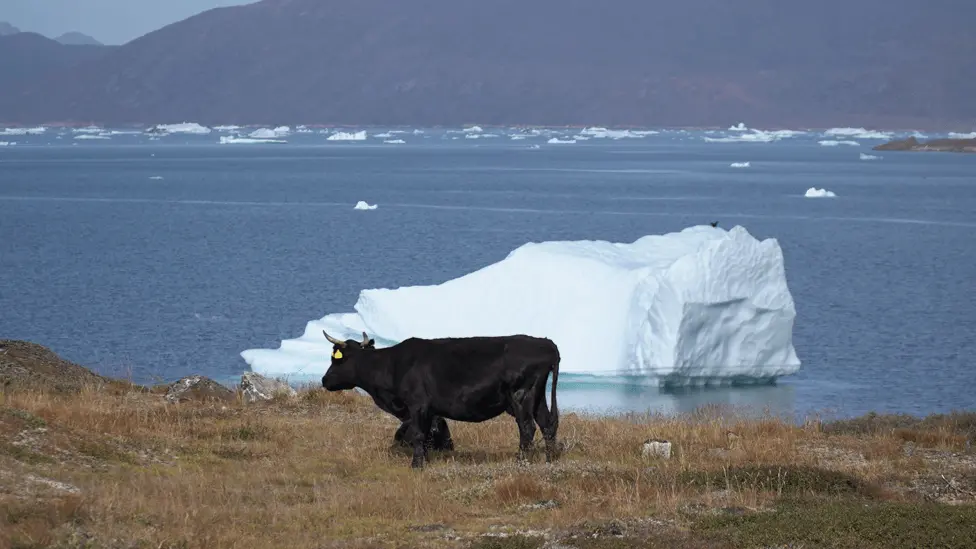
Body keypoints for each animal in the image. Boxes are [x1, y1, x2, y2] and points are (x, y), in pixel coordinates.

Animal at [321, 330, 560, 469]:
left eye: (336, 358)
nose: (324, 380)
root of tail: (548, 345)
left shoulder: (417, 405)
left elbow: (418, 434)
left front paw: (416, 465)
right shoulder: (429, 411)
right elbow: (426, 435)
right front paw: (425, 460)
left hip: (522, 395)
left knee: (527, 427)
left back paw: (521, 461)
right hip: (537, 396)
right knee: (547, 423)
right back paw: (550, 459)